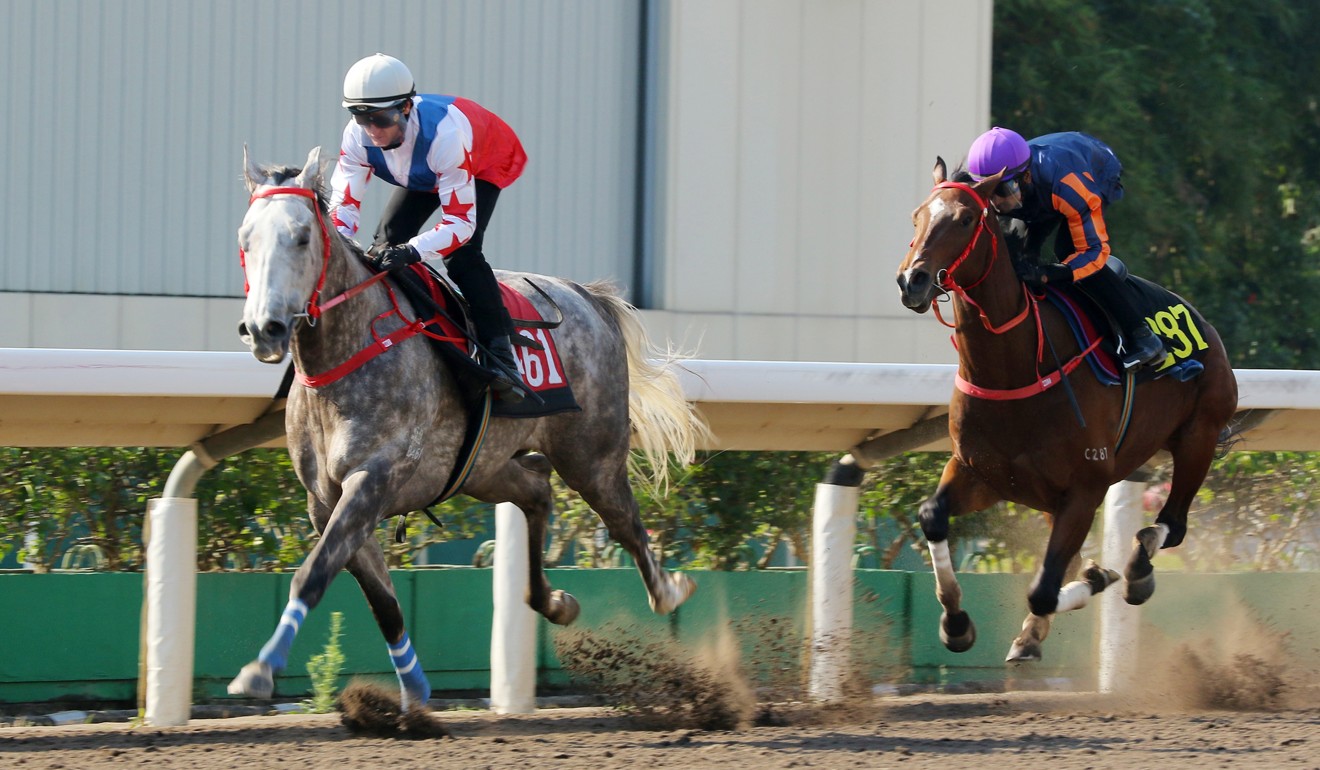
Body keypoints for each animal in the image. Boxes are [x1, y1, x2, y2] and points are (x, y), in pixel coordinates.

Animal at [229, 147, 702, 707]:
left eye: (301, 236)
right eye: (245, 238)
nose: (264, 328)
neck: (344, 359)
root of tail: (589, 297)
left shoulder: (373, 478)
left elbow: (312, 575)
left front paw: (259, 669)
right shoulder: (325, 502)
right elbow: (380, 599)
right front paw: (413, 688)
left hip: (593, 454)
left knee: (623, 520)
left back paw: (669, 591)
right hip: (483, 467)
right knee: (537, 491)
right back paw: (555, 602)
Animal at [892, 158, 1240, 663]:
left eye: (966, 219)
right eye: (917, 216)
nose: (912, 281)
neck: (1015, 367)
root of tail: (1205, 324)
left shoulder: (1084, 489)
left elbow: (1043, 589)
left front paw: (1084, 590)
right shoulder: (985, 474)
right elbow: (932, 516)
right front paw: (956, 623)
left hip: (1200, 434)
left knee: (1172, 526)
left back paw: (1136, 569)